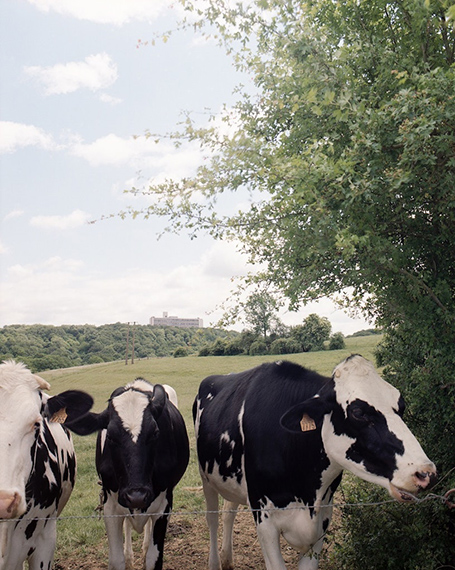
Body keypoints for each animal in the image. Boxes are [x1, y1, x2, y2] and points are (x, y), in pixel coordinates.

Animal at [67, 378, 189, 568]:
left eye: (155, 433)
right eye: (110, 436)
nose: (136, 496)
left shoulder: (164, 505)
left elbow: (153, 558)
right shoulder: (110, 506)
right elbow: (116, 559)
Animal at [193, 352, 438, 564]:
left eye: (401, 405)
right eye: (358, 412)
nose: (425, 473)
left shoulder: (321, 521)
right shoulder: (265, 521)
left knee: (228, 511)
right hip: (206, 478)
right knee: (212, 518)